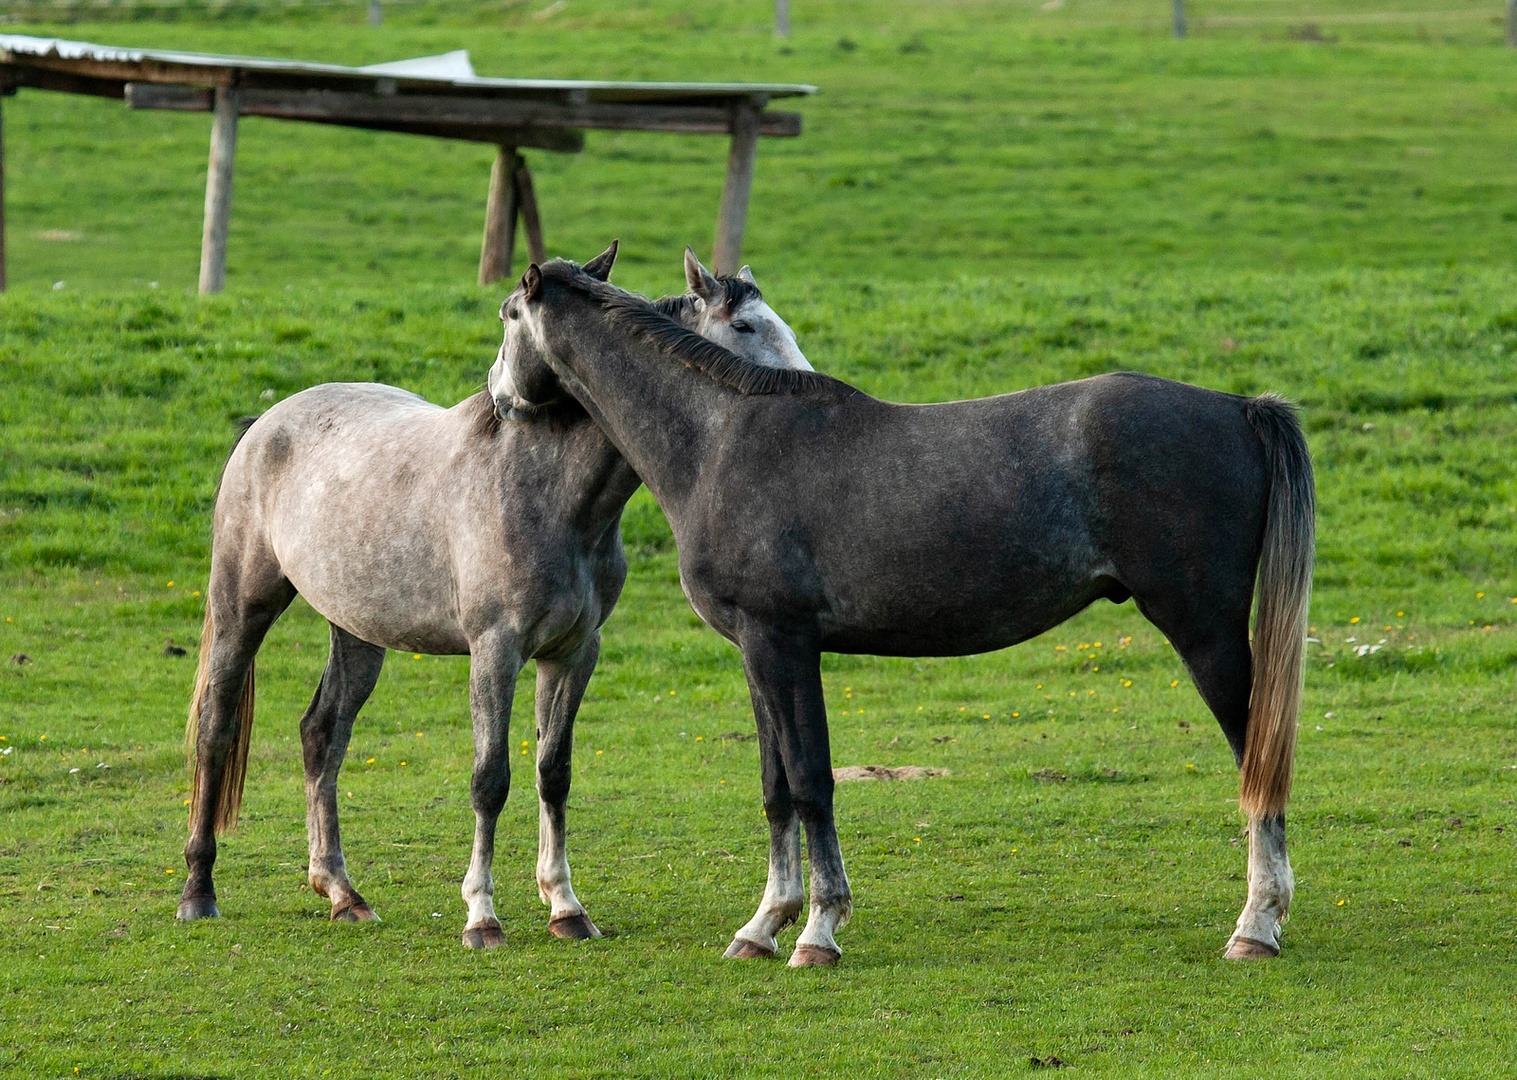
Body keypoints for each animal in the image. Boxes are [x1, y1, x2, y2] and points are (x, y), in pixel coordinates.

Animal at [179, 246, 810, 948]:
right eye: (746, 326)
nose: (807, 389)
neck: (547, 489)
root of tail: (263, 424)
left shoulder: (573, 652)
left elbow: (553, 773)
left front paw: (565, 907)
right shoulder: (495, 651)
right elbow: (491, 780)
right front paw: (481, 916)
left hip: (359, 633)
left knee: (322, 734)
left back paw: (342, 893)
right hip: (242, 609)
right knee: (217, 729)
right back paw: (198, 890)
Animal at [489, 245, 1315, 967]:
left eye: (505, 316)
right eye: (750, 324)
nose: (498, 397)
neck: (722, 442)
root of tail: (1239, 407)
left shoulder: (784, 644)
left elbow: (812, 780)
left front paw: (817, 931)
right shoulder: (757, 651)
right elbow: (776, 787)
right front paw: (763, 925)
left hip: (1203, 631)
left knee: (1256, 758)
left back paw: (1255, 925)